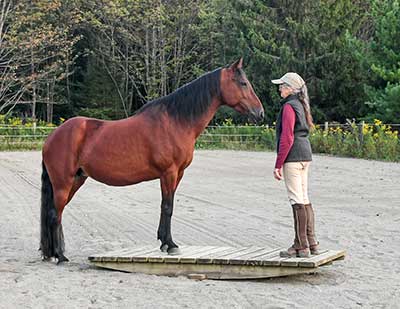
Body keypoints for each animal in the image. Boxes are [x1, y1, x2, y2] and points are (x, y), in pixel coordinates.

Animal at [40, 58, 264, 262]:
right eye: (243, 83)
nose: (260, 113)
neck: (176, 122)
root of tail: (51, 137)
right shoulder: (169, 173)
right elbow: (168, 207)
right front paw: (170, 245)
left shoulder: (178, 174)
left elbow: (167, 205)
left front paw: (164, 242)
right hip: (63, 183)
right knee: (54, 214)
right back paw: (60, 256)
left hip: (77, 179)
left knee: (57, 213)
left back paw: (53, 253)